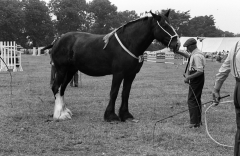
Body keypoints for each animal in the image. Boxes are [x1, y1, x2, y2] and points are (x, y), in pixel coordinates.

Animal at [51, 10, 181, 122]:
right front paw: (111, 116)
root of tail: (57, 40)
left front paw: (125, 115)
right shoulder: (118, 73)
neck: (129, 42)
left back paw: (65, 112)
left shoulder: (130, 74)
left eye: (170, 24)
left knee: (62, 89)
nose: (177, 44)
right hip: (61, 69)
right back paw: (59, 115)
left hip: (71, 71)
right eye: (164, 25)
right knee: (56, 87)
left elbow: (125, 93)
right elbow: (114, 92)